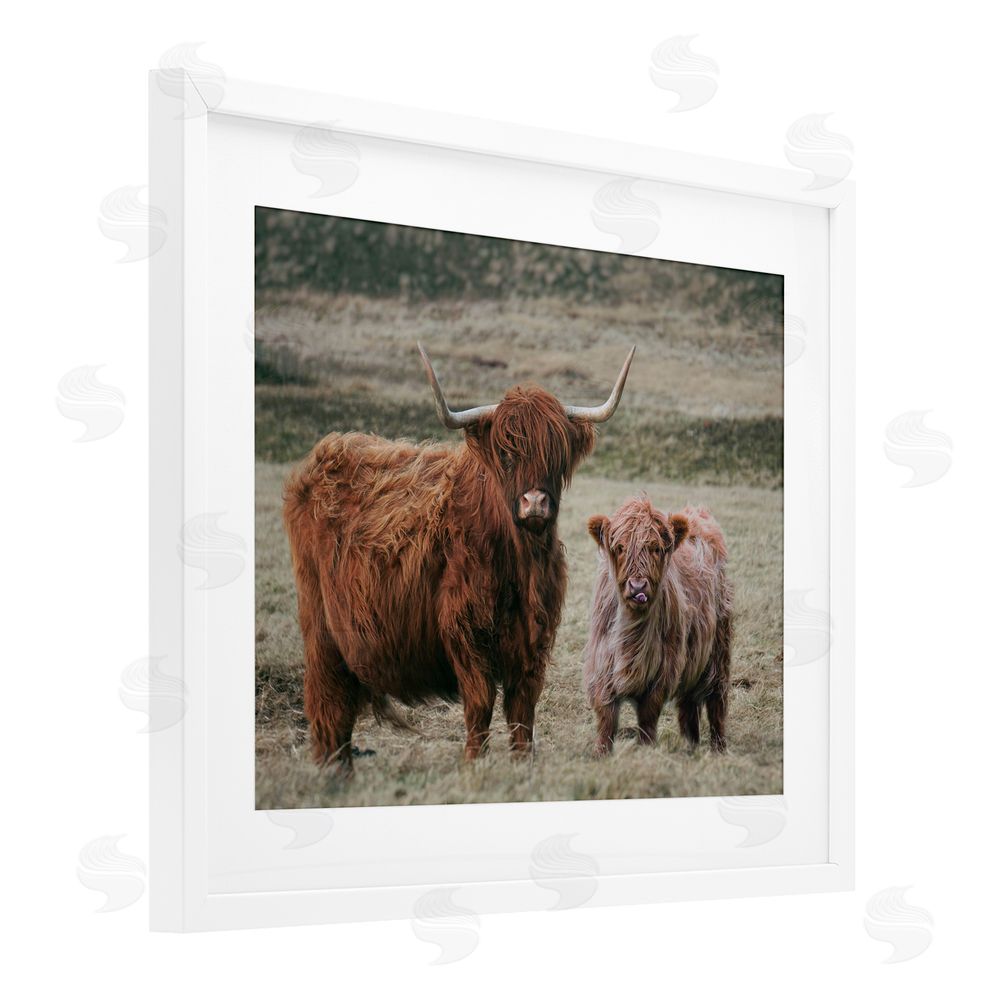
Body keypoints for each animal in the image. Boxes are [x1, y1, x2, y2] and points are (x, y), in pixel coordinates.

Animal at [283, 343, 635, 774]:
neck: (519, 563)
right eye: (505, 453)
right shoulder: (466, 631)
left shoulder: (533, 639)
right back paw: (333, 772)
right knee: (328, 703)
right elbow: (480, 703)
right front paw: (473, 762)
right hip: (321, 626)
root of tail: (325, 454)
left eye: (556, 453)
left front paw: (522, 763)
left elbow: (523, 709)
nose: (535, 502)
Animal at [583, 497, 733, 755]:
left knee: (716, 700)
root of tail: (697, 512)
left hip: (718, 649)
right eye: (620, 547)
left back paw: (718, 748)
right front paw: (601, 753)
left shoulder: (664, 669)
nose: (637, 586)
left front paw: (645, 749)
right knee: (688, 704)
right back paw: (690, 746)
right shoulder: (602, 663)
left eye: (656, 548)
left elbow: (648, 715)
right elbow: (606, 716)